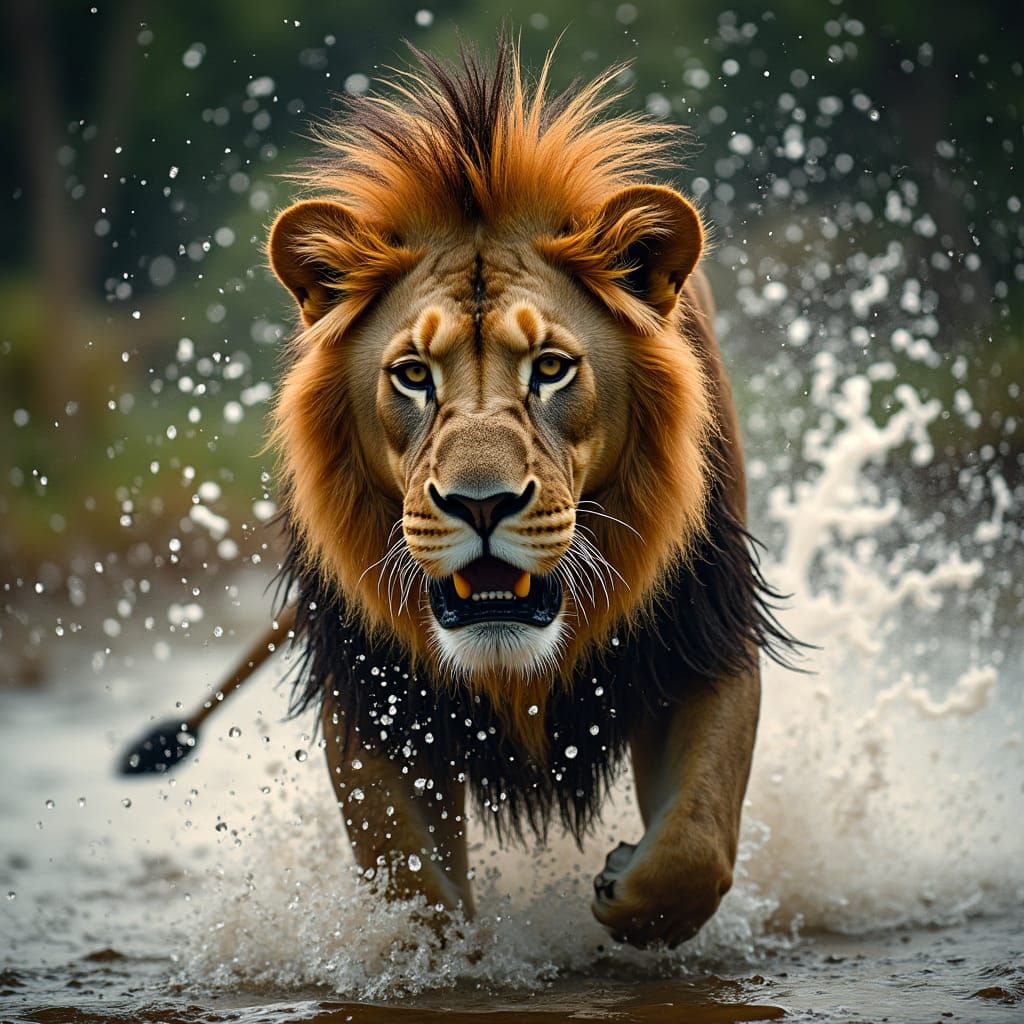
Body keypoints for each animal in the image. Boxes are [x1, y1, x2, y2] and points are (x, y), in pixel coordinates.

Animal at [265, 40, 793, 949]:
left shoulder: (703, 634)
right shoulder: (374, 695)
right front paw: (445, 957)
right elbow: (416, 887)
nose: (481, 506)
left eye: (550, 368)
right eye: (413, 375)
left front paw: (625, 884)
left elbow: (694, 847)